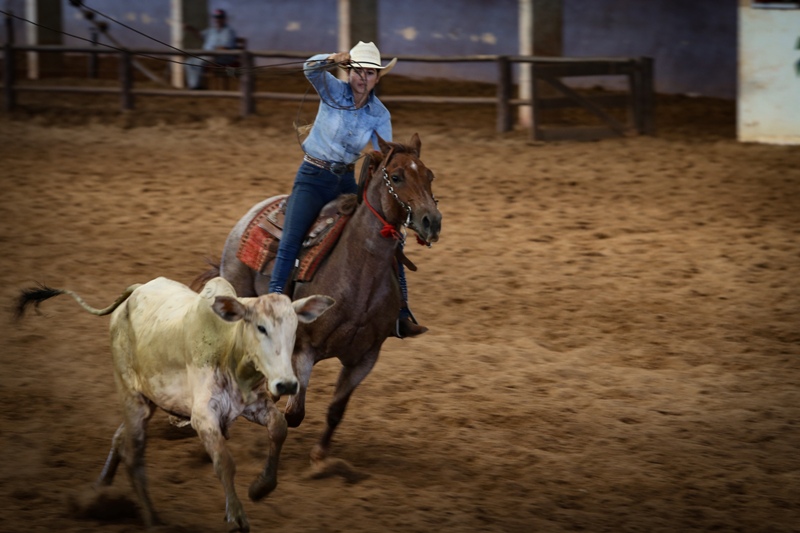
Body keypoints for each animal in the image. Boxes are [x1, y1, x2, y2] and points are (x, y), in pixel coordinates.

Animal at [198, 133, 440, 494]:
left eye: (429, 175)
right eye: (396, 177)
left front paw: (320, 461)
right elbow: (294, 414)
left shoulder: (366, 356)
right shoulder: (305, 349)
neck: (358, 273)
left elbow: (336, 410)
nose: (431, 221)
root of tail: (251, 215)